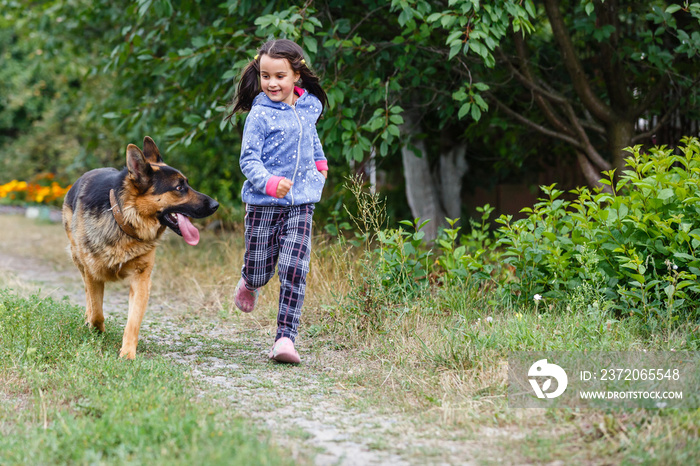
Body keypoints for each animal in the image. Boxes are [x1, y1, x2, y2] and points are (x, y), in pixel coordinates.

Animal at [65, 137, 221, 358]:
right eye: (179, 188)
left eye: (187, 184)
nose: (216, 205)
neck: (124, 220)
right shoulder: (93, 273)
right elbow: (96, 311)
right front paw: (96, 329)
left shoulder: (141, 279)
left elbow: (133, 320)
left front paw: (128, 354)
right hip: (78, 258)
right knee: (88, 294)